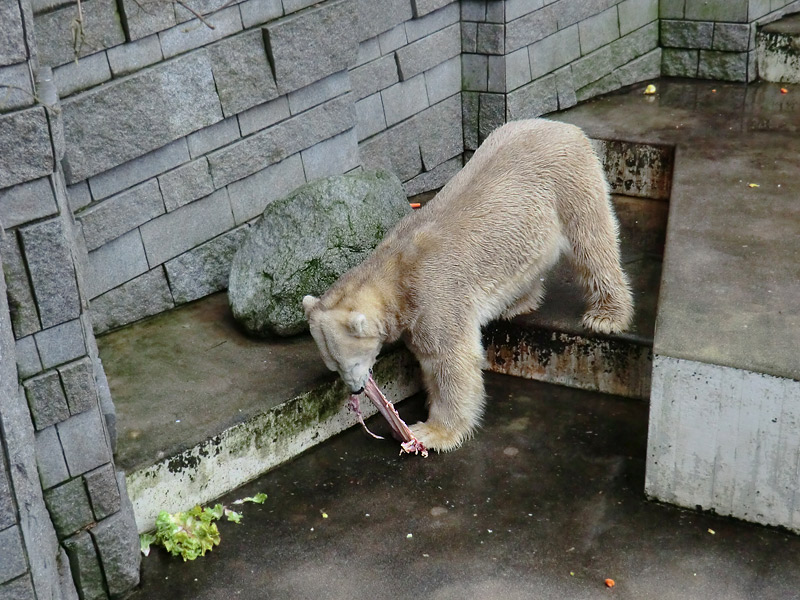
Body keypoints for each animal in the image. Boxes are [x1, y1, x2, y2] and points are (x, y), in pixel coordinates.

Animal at [300, 118, 632, 450]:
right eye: (333, 366)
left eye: (348, 361)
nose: (355, 390)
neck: (394, 270)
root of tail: (564, 126)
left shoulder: (433, 297)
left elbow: (448, 360)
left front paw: (432, 431)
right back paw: (515, 304)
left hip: (569, 182)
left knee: (591, 244)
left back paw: (606, 315)